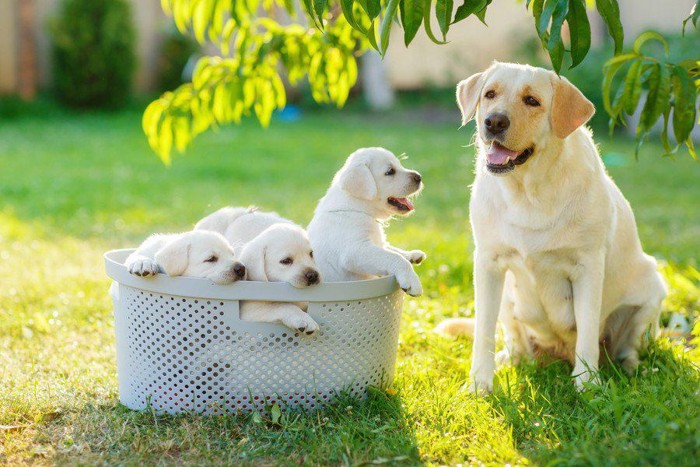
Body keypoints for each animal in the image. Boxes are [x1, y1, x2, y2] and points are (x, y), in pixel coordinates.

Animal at [308, 147, 426, 296]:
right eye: (390, 171)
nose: (419, 177)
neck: (356, 208)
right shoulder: (356, 250)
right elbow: (394, 258)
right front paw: (412, 280)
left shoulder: (376, 243)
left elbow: (390, 249)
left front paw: (411, 254)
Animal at [452, 61, 664, 392]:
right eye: (490, 94)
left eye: (532, 101)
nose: (494, 121)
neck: (528, 192)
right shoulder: (488, 262)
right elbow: (483, 331)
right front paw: (479, 385)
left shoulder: (588, 266)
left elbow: (587, 331)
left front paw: (587, 384)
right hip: (507, 297)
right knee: (516, 342)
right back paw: (512, 359)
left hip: (652, 290)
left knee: (629, 347)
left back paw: (632, 370)